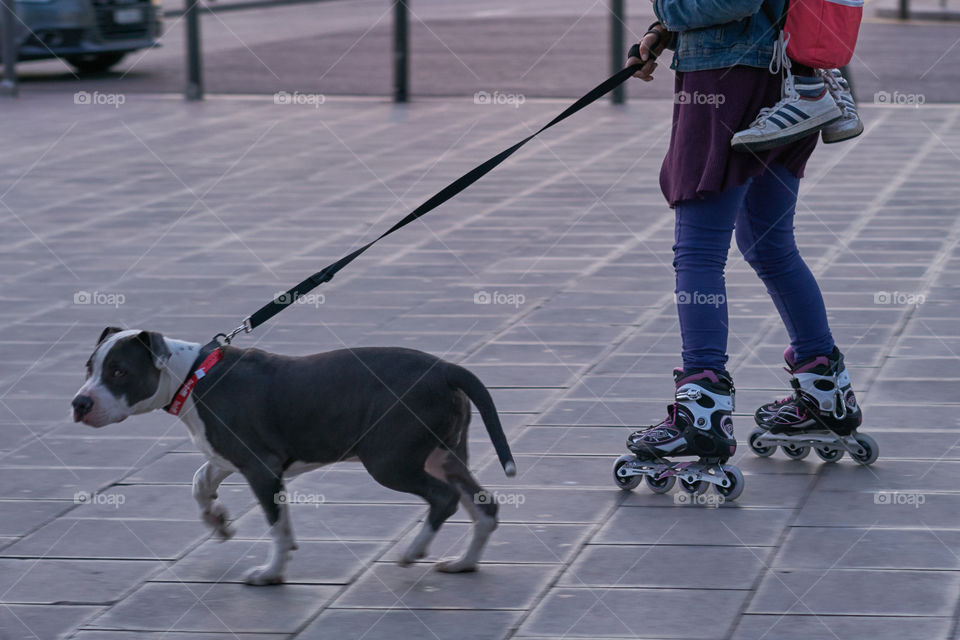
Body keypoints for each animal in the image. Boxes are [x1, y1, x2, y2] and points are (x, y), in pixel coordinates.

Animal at [73, 330, 516, 584]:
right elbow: (200, 480)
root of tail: (445, 369)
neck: (192, 376)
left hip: (390, 460)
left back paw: (413, 552)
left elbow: (276, 526)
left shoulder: (260, 466)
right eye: (88, 367)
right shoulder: (232, 457)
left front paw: (271, 573)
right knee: (483, 504)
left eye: (118, 371)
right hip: (444, 454)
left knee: (444, 497)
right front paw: (218, 521)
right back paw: (463, 564)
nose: (79, 404)